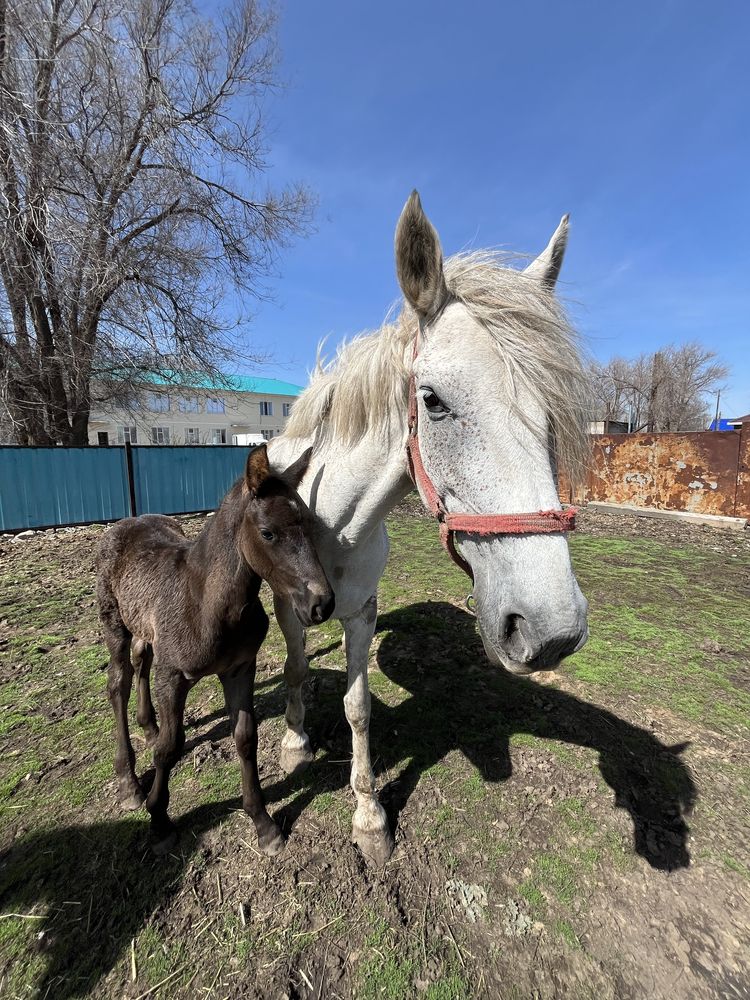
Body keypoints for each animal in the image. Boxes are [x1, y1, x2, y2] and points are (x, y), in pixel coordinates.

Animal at [95, 450, 334, 856]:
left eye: (309, 525)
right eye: (268, 532)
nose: (321, 604)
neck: (208, 603)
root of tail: (126, 522)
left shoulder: (240, 668)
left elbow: (246, 738)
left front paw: (263, 823)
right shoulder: (173, 675)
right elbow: (169, 748)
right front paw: (159, 822)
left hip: (144, 626)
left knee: (142, 659)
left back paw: (148, 725)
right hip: (115, 626)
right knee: (118, 684)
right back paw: (129, 782)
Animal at [270, 191, 592, 864]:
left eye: (550, 413)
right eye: (433, 401)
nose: (551, 631)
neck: (330, 523)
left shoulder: (362, 613)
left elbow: (358, 707)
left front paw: (368, 816)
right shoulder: (290, 608)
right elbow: (296, 668)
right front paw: (294, 745)